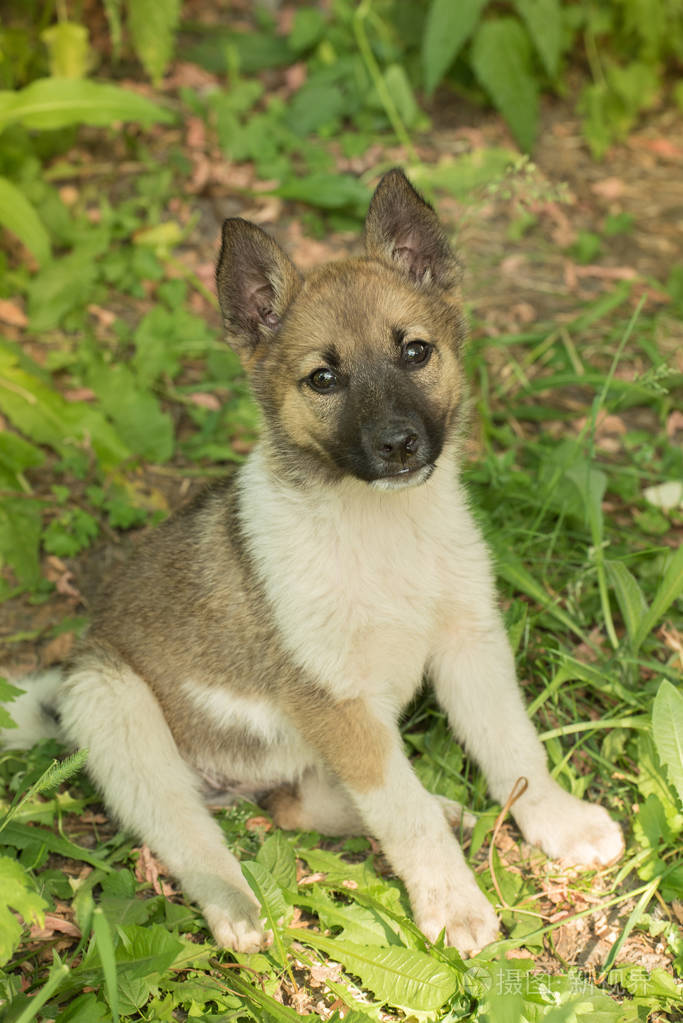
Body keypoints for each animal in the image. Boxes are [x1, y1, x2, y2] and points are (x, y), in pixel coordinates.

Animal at [1, 171, 625, 953]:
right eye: (323, 378)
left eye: (415, 352)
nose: (398, 445)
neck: (378, 527)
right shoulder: (336, 701)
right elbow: (401, 813)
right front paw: (452, 903)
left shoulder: (468, 644)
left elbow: (512, 747)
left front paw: (557, 820)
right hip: (111, 702)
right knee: (186, 832)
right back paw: (237, 908)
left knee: (298, 806)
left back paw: (443, 806)